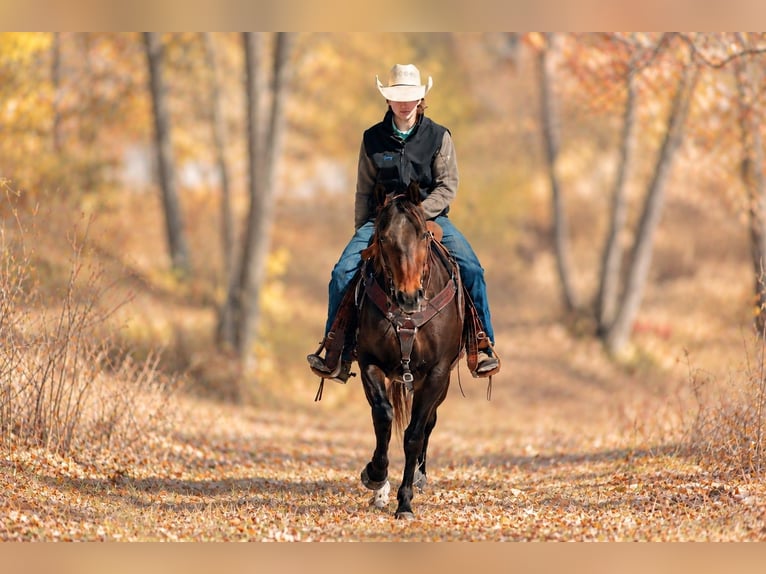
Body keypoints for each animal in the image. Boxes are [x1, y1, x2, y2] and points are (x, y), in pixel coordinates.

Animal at [355, 182, 465, 519]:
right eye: (383, 237)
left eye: (423, 236)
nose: (409, 297)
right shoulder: (369, 363)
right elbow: (383, 416)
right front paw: (375, 475)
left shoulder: (437, 373)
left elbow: (415, 434)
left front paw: (404, 502)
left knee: (429, 423)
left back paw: (418, 476)